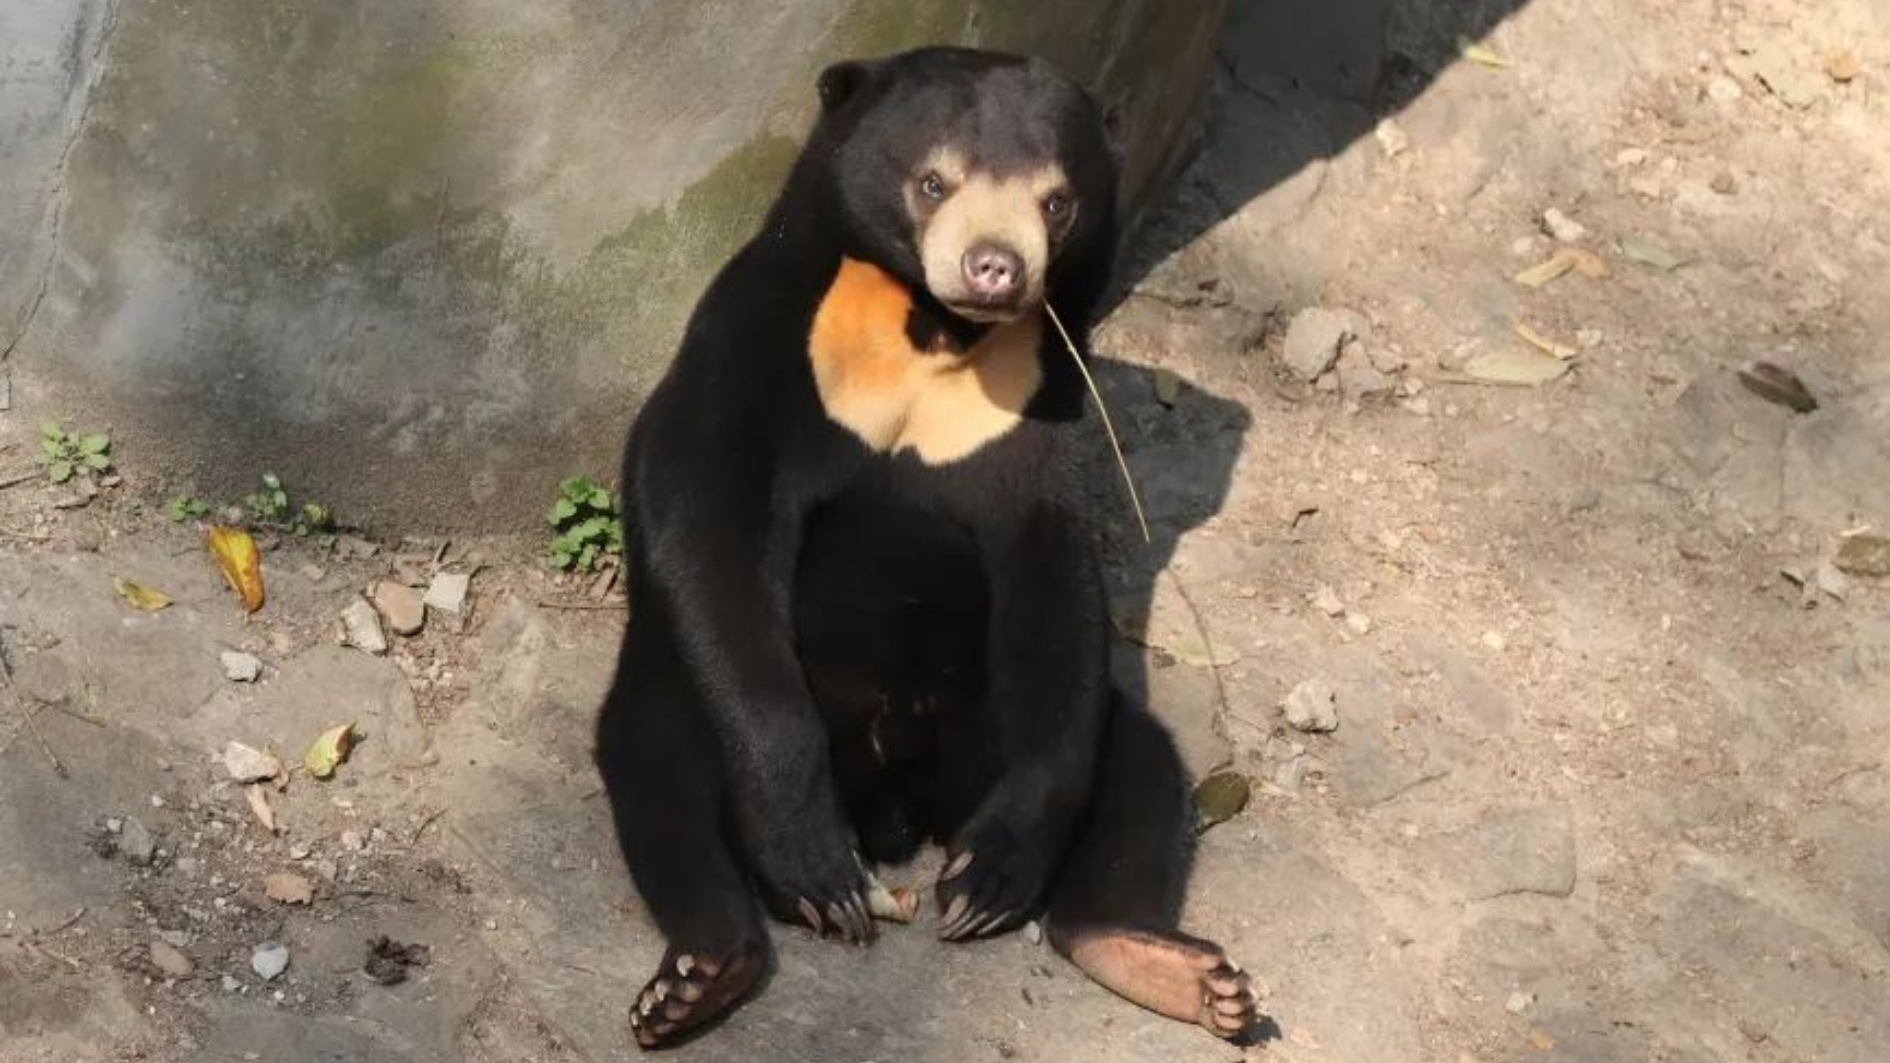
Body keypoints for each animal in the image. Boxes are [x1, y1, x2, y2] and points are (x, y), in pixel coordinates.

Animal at [594, 46, 1258, 1050]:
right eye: (933, 180)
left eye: (1056, 201)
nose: (995, 269)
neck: (930, 331)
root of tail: (901, 812)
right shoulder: (756, 343)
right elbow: (705, 513)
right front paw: (817, 866)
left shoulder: (1041, 397)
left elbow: (1055, 580)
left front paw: (988, 880)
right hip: (690, 698)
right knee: (653, 756)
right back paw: (704, 970)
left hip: (987, 726)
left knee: (1137, 765)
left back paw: (1168, 964)